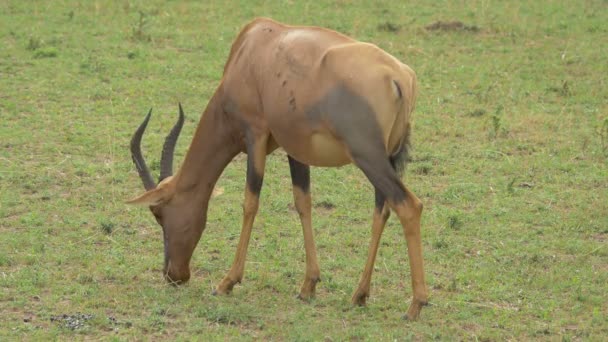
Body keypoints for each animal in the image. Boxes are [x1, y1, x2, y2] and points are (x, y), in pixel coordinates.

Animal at [129, 16, 428, 320]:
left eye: (158, 212)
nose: (173, 274)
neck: (253, 48)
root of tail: (399, 77)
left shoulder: (255, 134)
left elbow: (250, 202)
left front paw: (227, 282)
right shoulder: (294, 147)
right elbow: (302, 202)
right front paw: (308, 286)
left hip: (367, 156)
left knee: (408, 205)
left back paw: (416, 305)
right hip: (387, 157)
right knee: (383, 210)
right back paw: (359, 295)